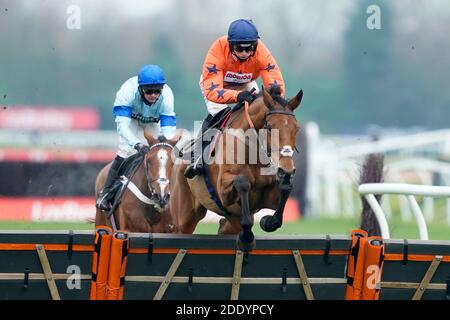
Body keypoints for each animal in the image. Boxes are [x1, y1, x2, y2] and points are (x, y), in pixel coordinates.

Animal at [171, 86, 304, 251]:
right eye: (269, 127)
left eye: (296, 128)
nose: (286, 169)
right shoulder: (223, 191)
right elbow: (242, 182)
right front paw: (246, 238)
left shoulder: (270, 196)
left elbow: (286, 188)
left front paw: (268, 221)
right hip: (184, 217)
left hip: (230, 220)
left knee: (224, 226)